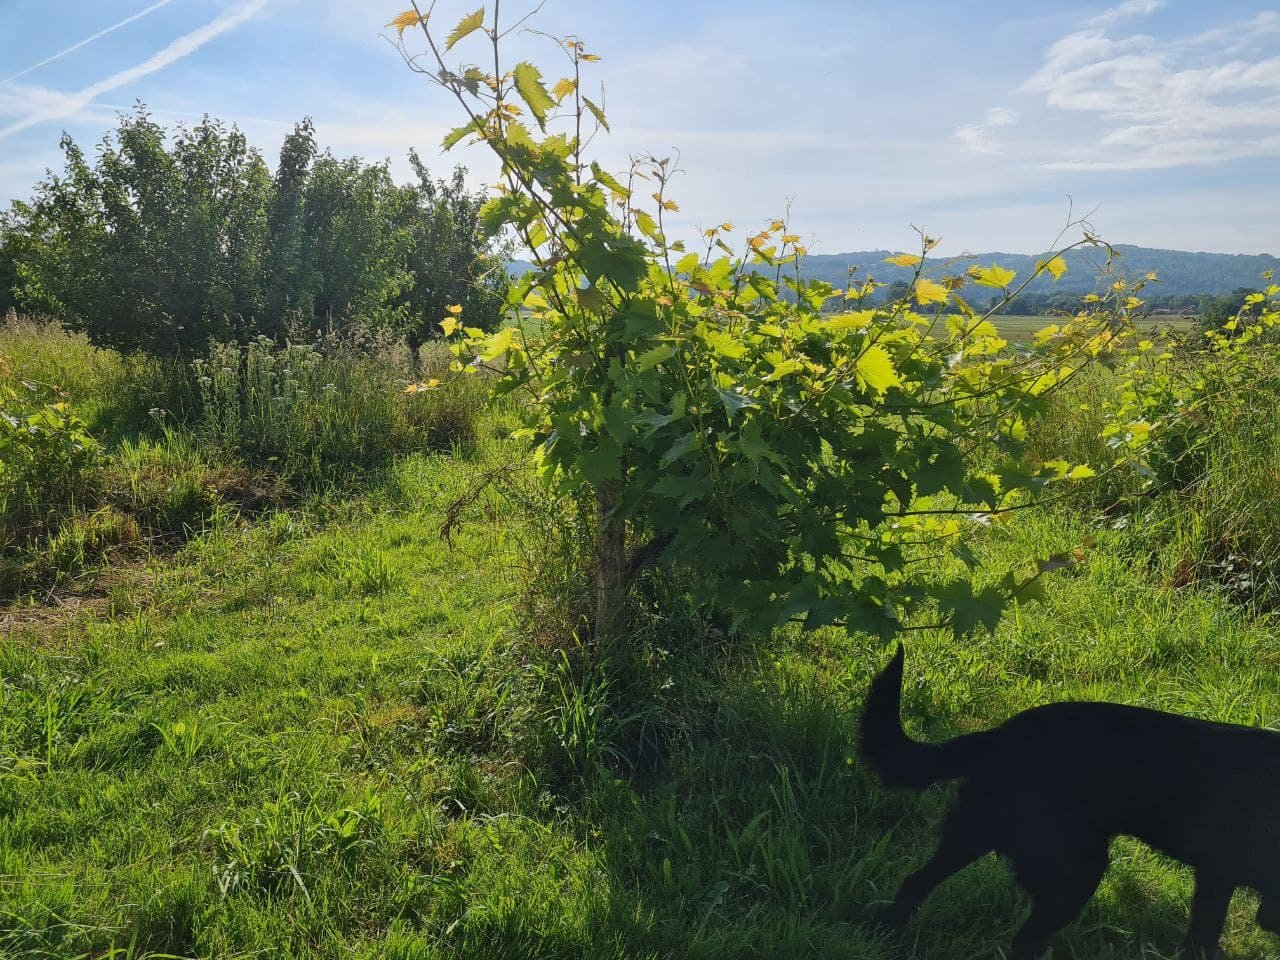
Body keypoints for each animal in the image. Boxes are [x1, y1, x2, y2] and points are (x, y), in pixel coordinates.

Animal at [855, 642, 1280, 957]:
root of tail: (998, 737)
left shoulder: (1222, 879)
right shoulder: (1221, 876)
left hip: (976, 834)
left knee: (918, 882)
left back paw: (882, 932)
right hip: (1075, 869)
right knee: (1022, 938)